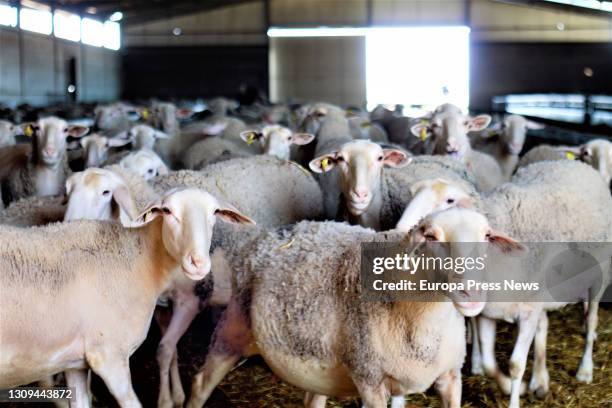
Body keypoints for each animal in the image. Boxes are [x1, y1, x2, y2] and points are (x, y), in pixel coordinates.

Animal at [0, 188, 253, 408]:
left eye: (214, 212)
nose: (198, 263)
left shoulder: (75, 364)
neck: (142, 261)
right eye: (168, 211)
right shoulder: (109, 356)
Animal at [188, 209, 524, 406]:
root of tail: (279, 231)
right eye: (430, 236)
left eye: (487, 236)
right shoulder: (370, 380)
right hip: (233, 327)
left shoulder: (450, 377)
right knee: (200, 383)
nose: (472, 291)